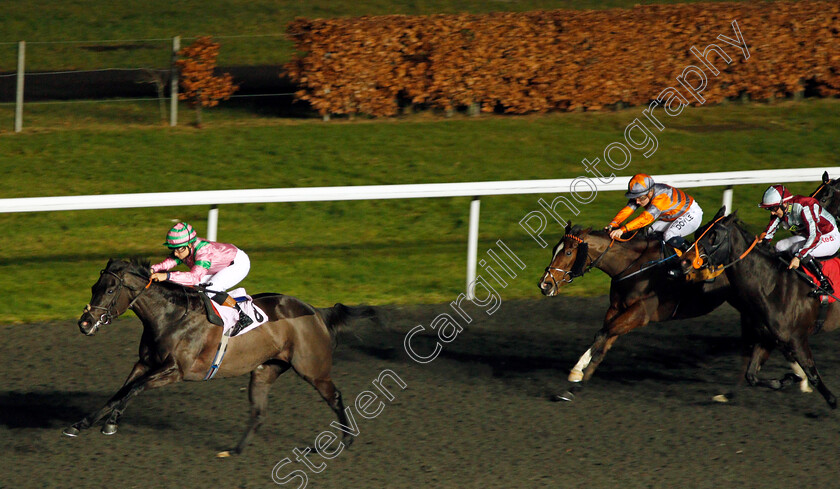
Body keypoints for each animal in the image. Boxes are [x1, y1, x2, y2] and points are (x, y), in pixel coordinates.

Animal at [65, 258, 378, 452]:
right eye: (93, 287)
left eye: (109, 290)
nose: (84, 323)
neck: (170, 316)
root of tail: (317, 312)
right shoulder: (145, 363)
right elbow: (121, 392)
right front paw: (83, 424)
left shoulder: (176, 371)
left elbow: (133, 389)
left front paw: (110, 423)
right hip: (265, 369)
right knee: (259, 412)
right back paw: (236, 450)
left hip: (313, 369)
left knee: (334, 397)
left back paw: (346, 442)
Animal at [688, 214, 840, 408]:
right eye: (698, 232)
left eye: (713, 236)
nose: (685, 260)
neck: (771, 286)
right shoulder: (766, 338)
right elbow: (751, 375)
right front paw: (787, 379)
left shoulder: (797, 339)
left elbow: (812, 373)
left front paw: (831, 400)